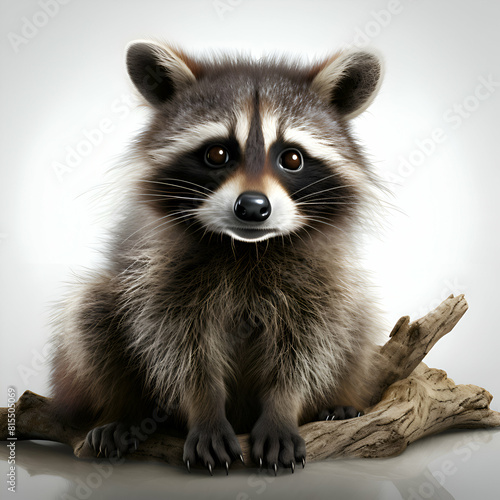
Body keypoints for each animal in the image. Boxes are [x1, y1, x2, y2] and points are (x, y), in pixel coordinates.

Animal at [49, 39, 382, 472]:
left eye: (292, 158)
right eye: (217, 154)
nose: (253, 207)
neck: (247, 249)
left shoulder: (317, 278)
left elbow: (308, 346)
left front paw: (283, 409)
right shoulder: (160, 273)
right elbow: (179, 349)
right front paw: (204, 409)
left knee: (357, 315)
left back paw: (337, 402)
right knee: (91, 309)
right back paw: (123, 412)